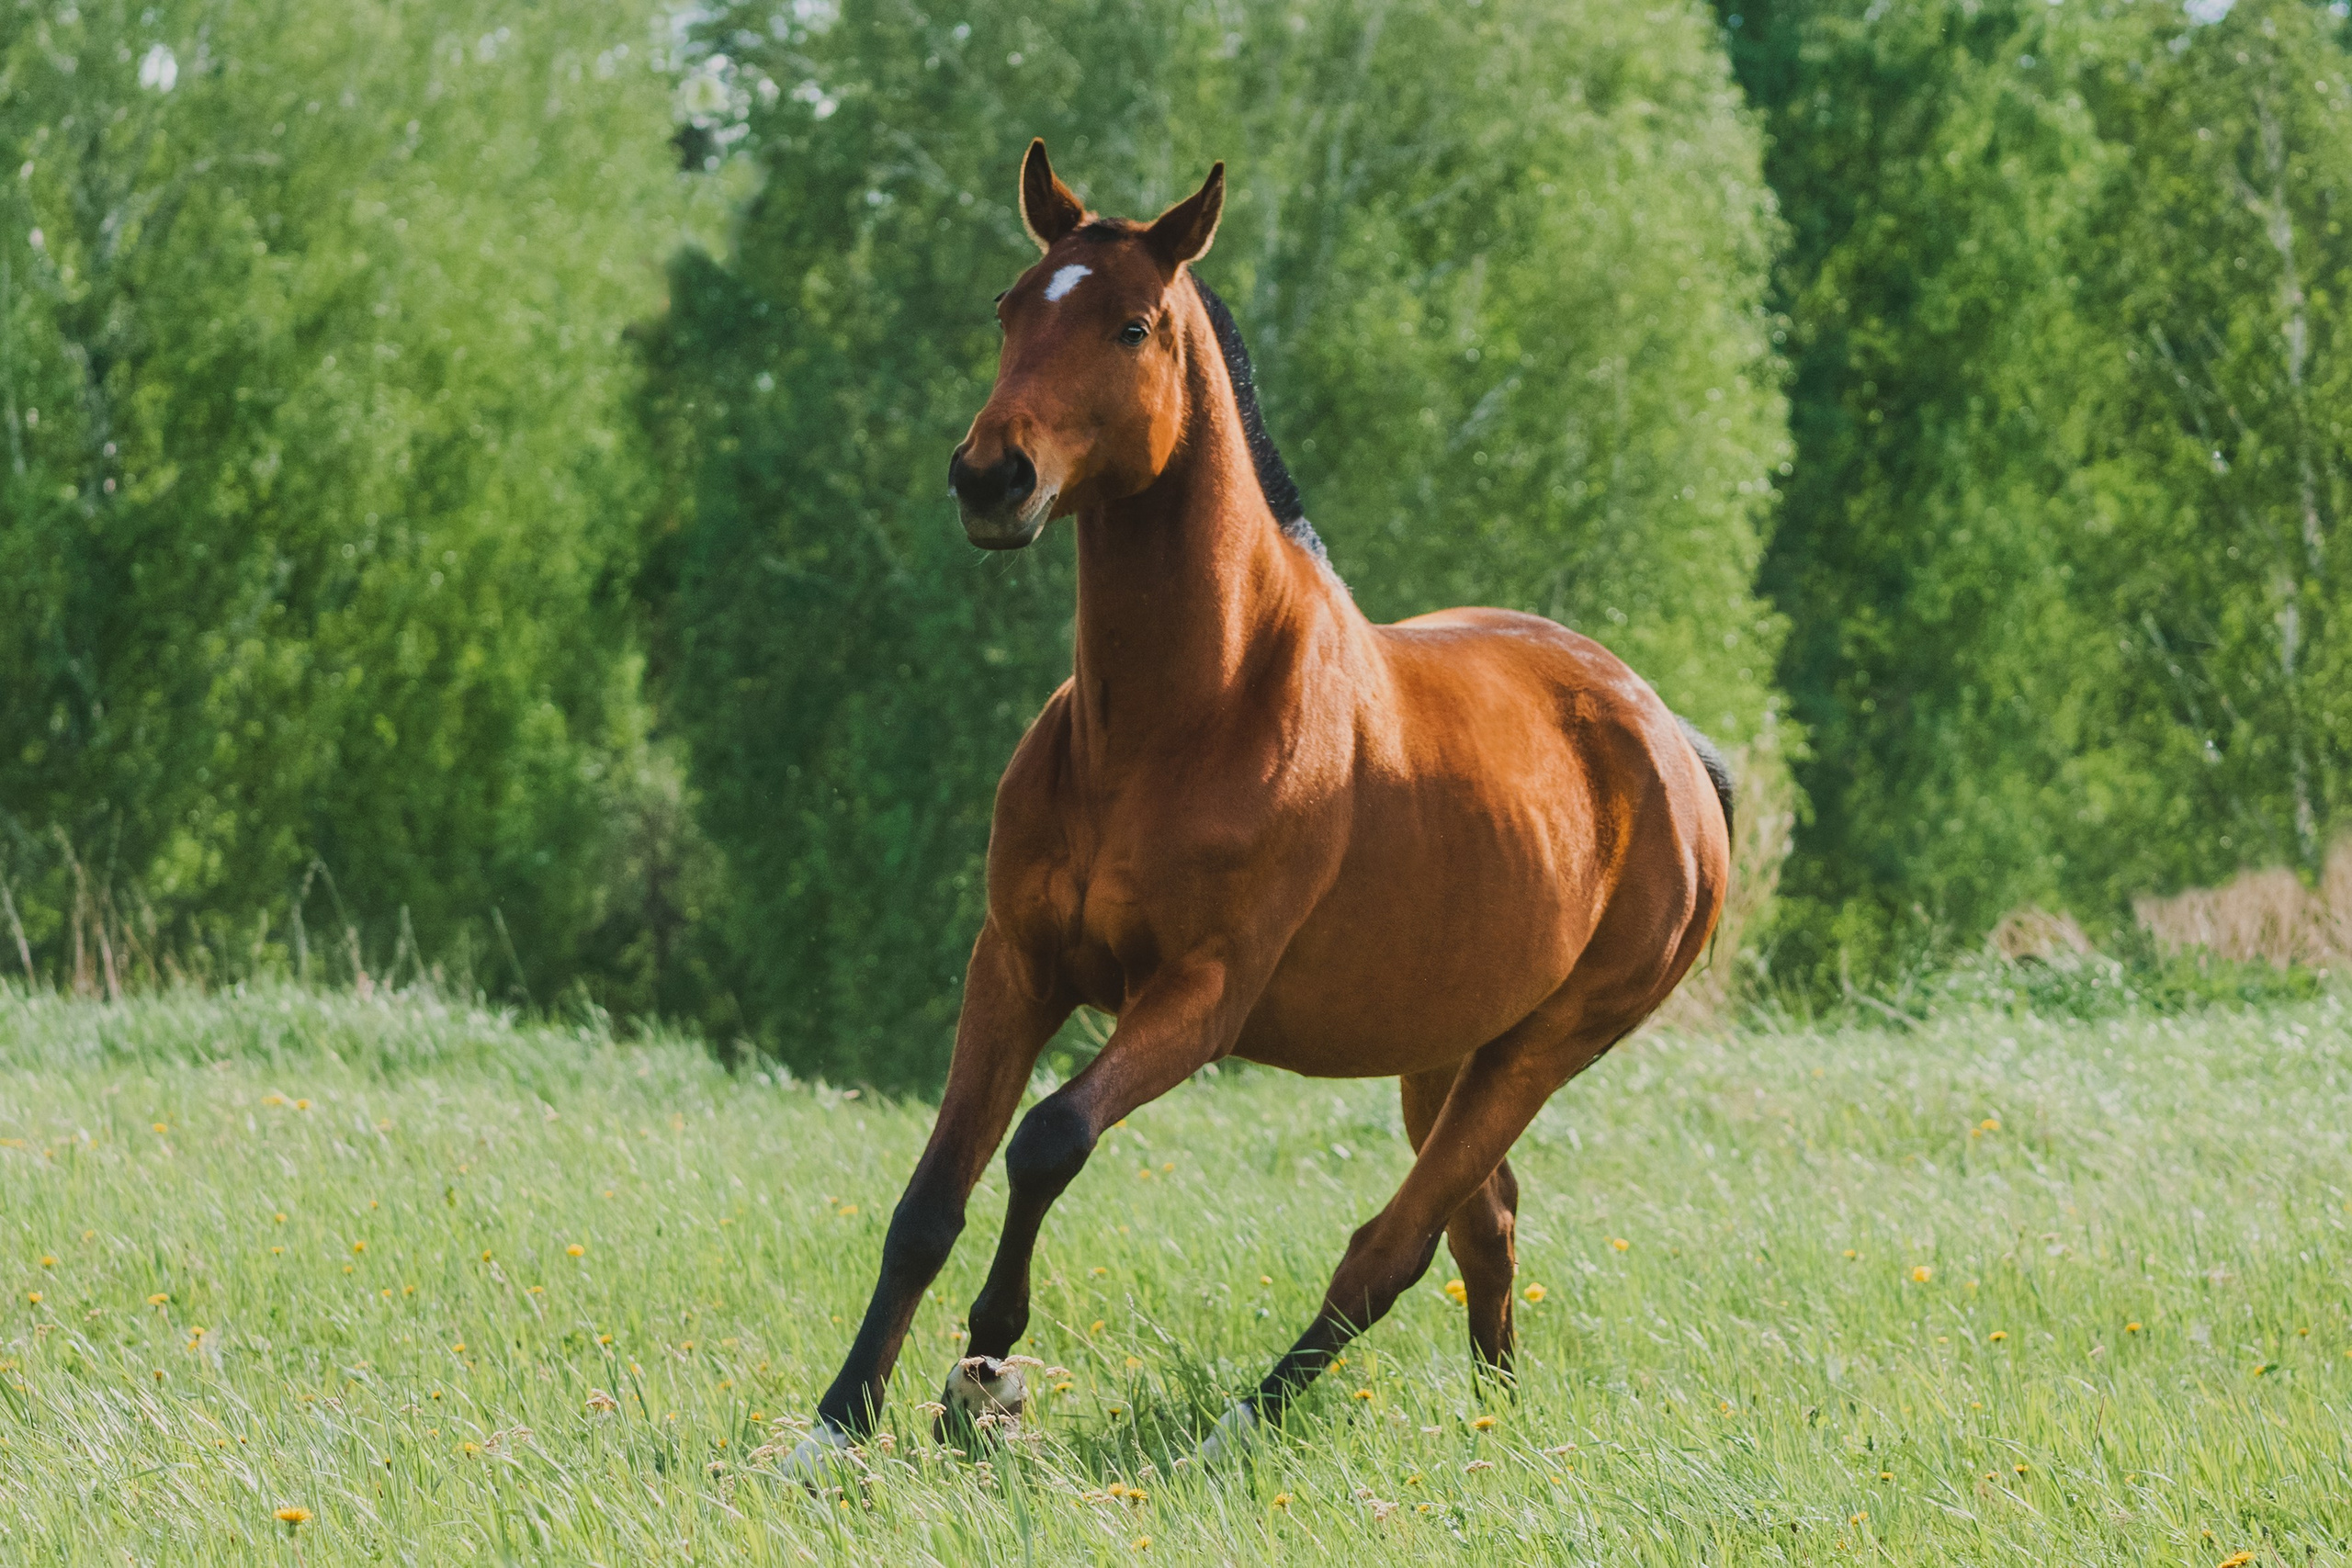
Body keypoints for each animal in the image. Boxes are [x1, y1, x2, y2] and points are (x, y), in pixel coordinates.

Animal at [785, 140, 1731, 1477]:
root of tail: (1673, 749)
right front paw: (836, 1422)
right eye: (1010, 308)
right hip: (1449, 1046)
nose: (989, 478)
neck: (1178, 719)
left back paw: (1233, 1428)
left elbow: (1048, 1138)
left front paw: (987, 1372)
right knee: (1484, 1222)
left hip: (1545, 1048)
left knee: (1393, 1246)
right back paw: (1494, 1423)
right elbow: (929, 1198)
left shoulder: (1202, 995)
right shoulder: (1016, 963)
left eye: (1131, 324)